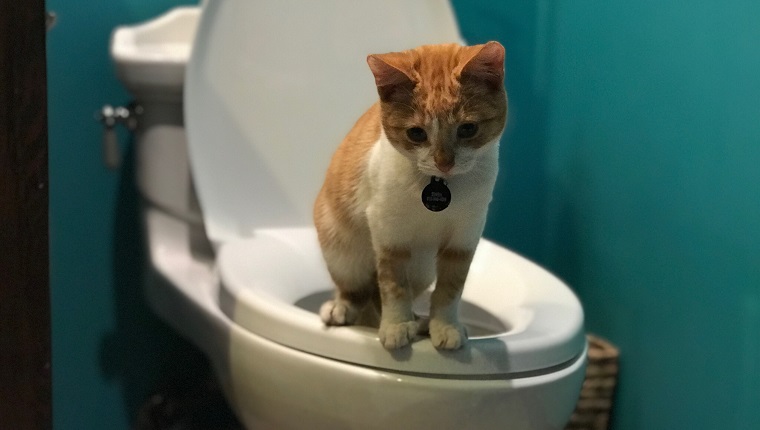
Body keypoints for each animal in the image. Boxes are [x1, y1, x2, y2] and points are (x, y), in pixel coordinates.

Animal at [312, 41, 508, 350]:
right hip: (343, 252)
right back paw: (342, 308)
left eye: (468, 129)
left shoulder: (465, 236)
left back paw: (420, 322)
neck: (441, 184)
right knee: (359, 290)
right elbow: (393, 285)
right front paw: (396, 325)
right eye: (416, 134)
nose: (444, 162)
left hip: (423, 269)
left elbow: (451, 287)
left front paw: (445, 326)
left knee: (377, 297)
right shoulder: (388, 232)